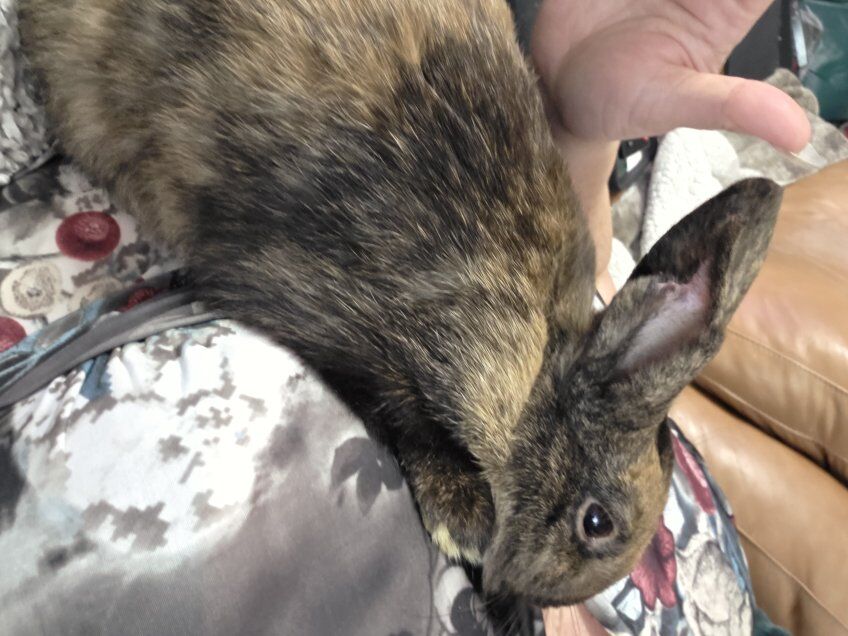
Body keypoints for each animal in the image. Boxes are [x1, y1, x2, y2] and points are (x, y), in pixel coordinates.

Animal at [19, 0, 781, 607]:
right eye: (597, 523)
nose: (500, 596)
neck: (530, 347)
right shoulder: (321, 300)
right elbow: (396, 404)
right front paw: (463, 513)